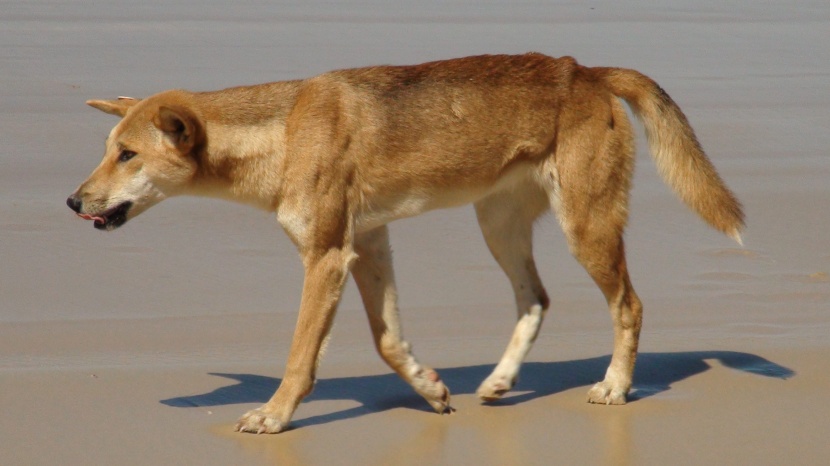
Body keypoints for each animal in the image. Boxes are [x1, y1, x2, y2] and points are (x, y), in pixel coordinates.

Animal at [68, 53, 744, 434]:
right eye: (106, 150)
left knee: (628, 304)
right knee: (536, 299)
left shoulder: (326, 258)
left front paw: (275, 415)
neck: (283, 132)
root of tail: (588, 72)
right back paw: (499, 382)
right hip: (497, 224)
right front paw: (431, 388)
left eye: (127, 155)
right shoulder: (367, 245)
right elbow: (388, 341)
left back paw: (615, 386)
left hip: (585, 225)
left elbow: (299, 356)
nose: (73, 202)